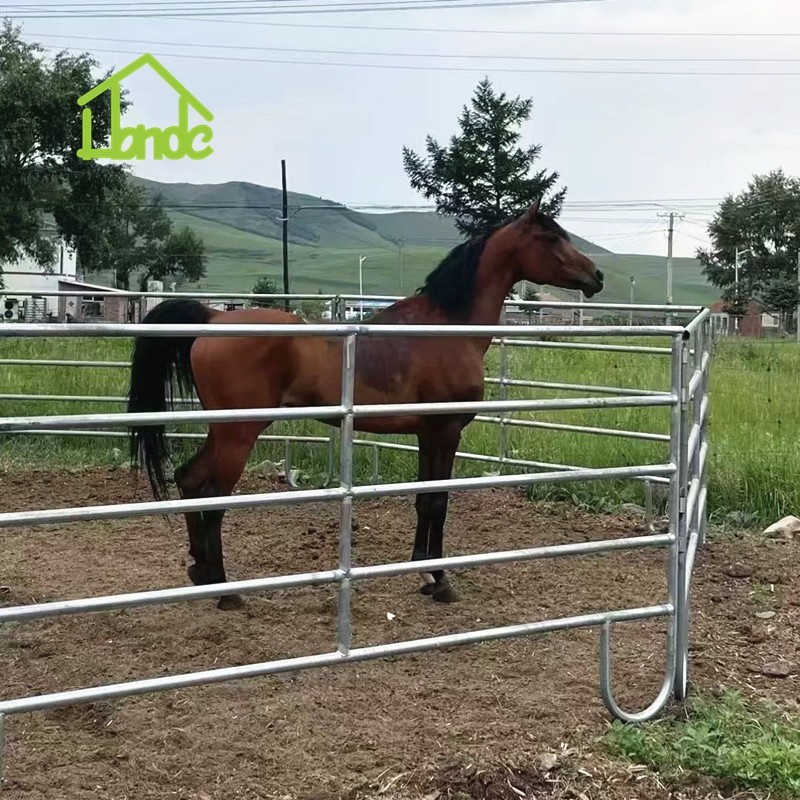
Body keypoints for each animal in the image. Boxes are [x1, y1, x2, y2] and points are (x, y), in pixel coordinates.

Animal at [126, 203, 604, 609]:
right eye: (552, 237)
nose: (596, 276)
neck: (446, 328)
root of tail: (214, 317)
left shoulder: (427, 435)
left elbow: (423, 501)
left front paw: (424, 572)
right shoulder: (447, 431)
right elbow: (438, 503)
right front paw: (441, 580)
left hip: (222, 430)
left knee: (189, 480)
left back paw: (200, 571)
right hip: (238, 435)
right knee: (212, 495)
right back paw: (226, 591)